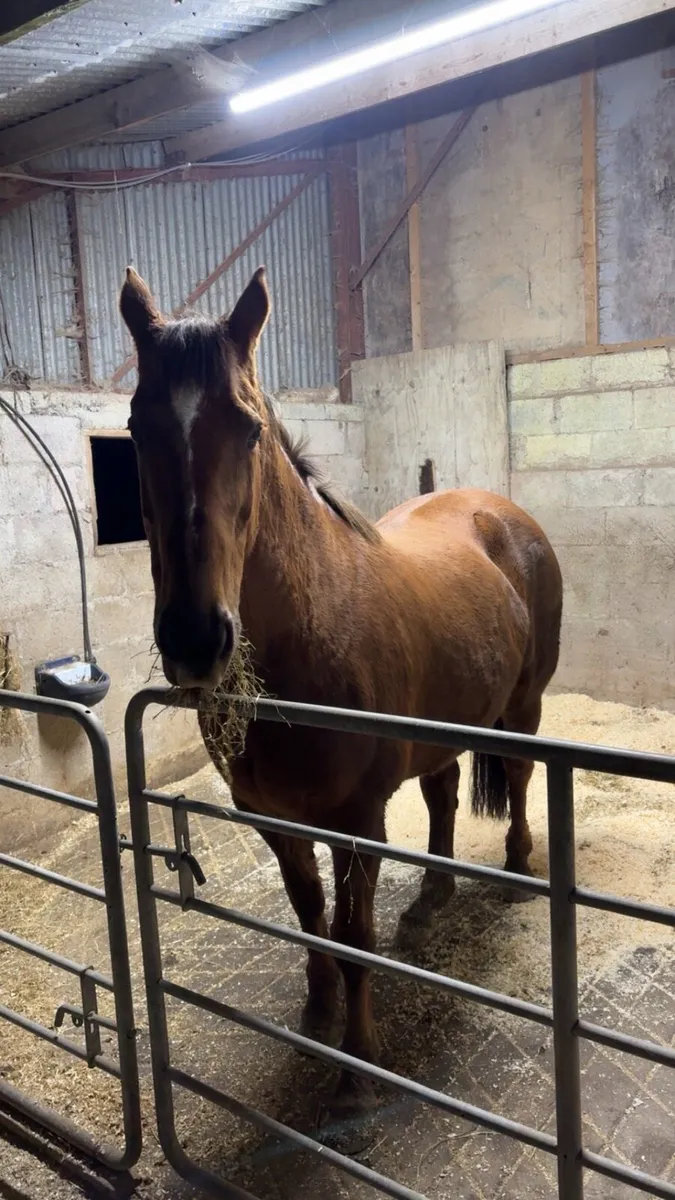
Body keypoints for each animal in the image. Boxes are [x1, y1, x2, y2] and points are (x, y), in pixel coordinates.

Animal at [120, 265, 563, 1117]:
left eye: (248, 429)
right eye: (133, 427)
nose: (195, 639)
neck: (311, 632)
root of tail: (504, 512)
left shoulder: (357, 821)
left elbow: (355, 939)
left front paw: (357, 1070)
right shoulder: (270, 816)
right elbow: (307, 914)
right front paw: (318, 1009)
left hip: (521, 707)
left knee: (521, 775)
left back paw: (519, 868)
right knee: (443, 792)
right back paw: (430, 897)